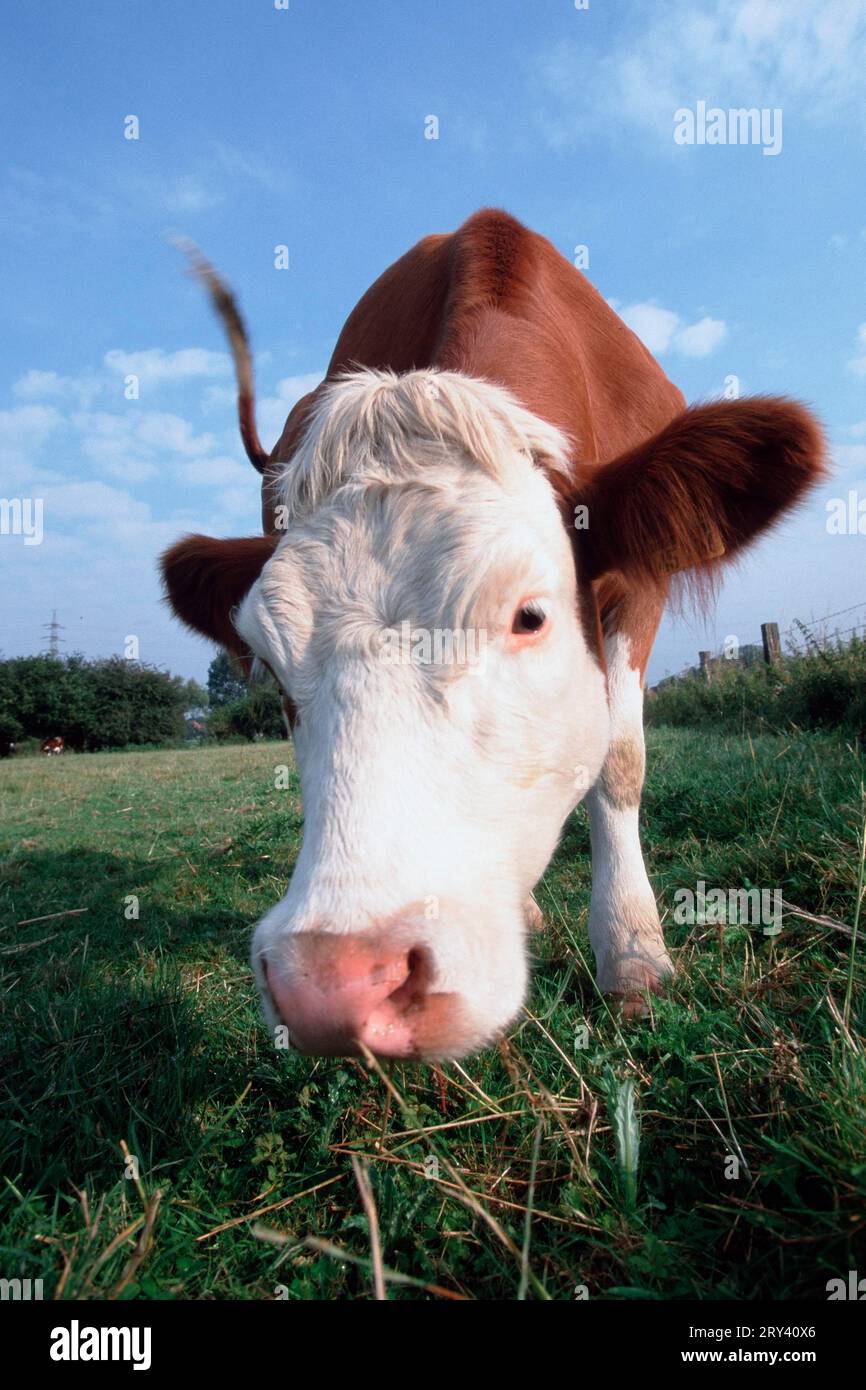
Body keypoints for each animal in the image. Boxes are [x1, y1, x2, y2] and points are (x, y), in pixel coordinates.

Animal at [161, 209, 825, 1061]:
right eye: (273, 669)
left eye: (528, 617)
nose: (335, 986)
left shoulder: (641, 587)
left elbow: (618, 760)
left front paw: (632, 952)